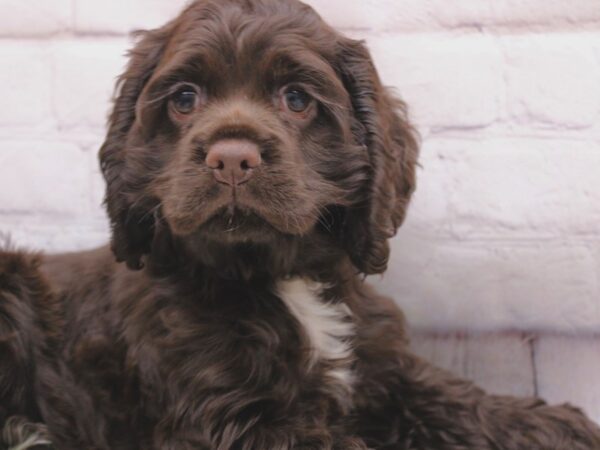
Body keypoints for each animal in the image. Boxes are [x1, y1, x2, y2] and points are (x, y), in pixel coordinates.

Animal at [1, 0, 600, 450]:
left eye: (296, 99)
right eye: (184, 99)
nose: (231, 159)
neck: (280, 277)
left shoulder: (380, 367)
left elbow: (448, 394)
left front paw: (551, 424)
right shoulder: (227, 420)